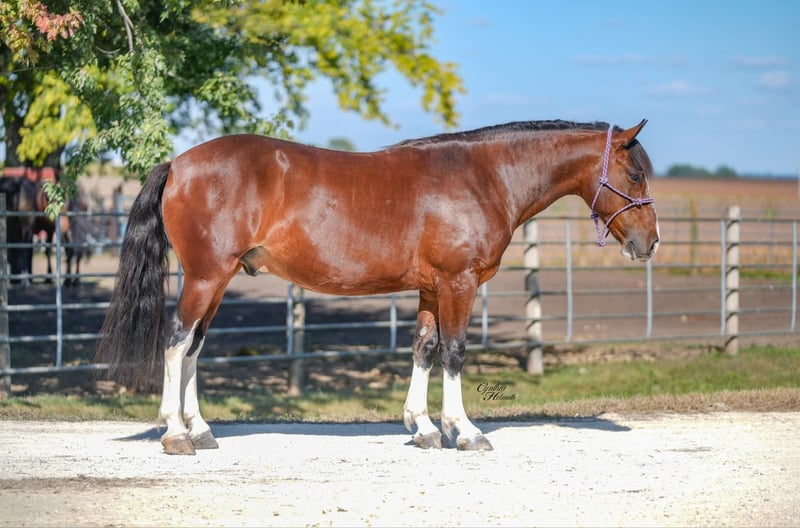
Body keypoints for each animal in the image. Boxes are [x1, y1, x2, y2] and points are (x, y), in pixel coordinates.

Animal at [95, 119, 660, 455]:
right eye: (634, 174)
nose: (648, 242)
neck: (483, 177)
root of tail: (179, 163)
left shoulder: (432, 288)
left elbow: (424, 348)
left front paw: (424, 428)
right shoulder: (458, 283)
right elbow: (455, 352)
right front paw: (466, 431)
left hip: (218, 278)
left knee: (194, 347)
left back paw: (202, 429)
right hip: (206, 275)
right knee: (176, 342)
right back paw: (175, 434)